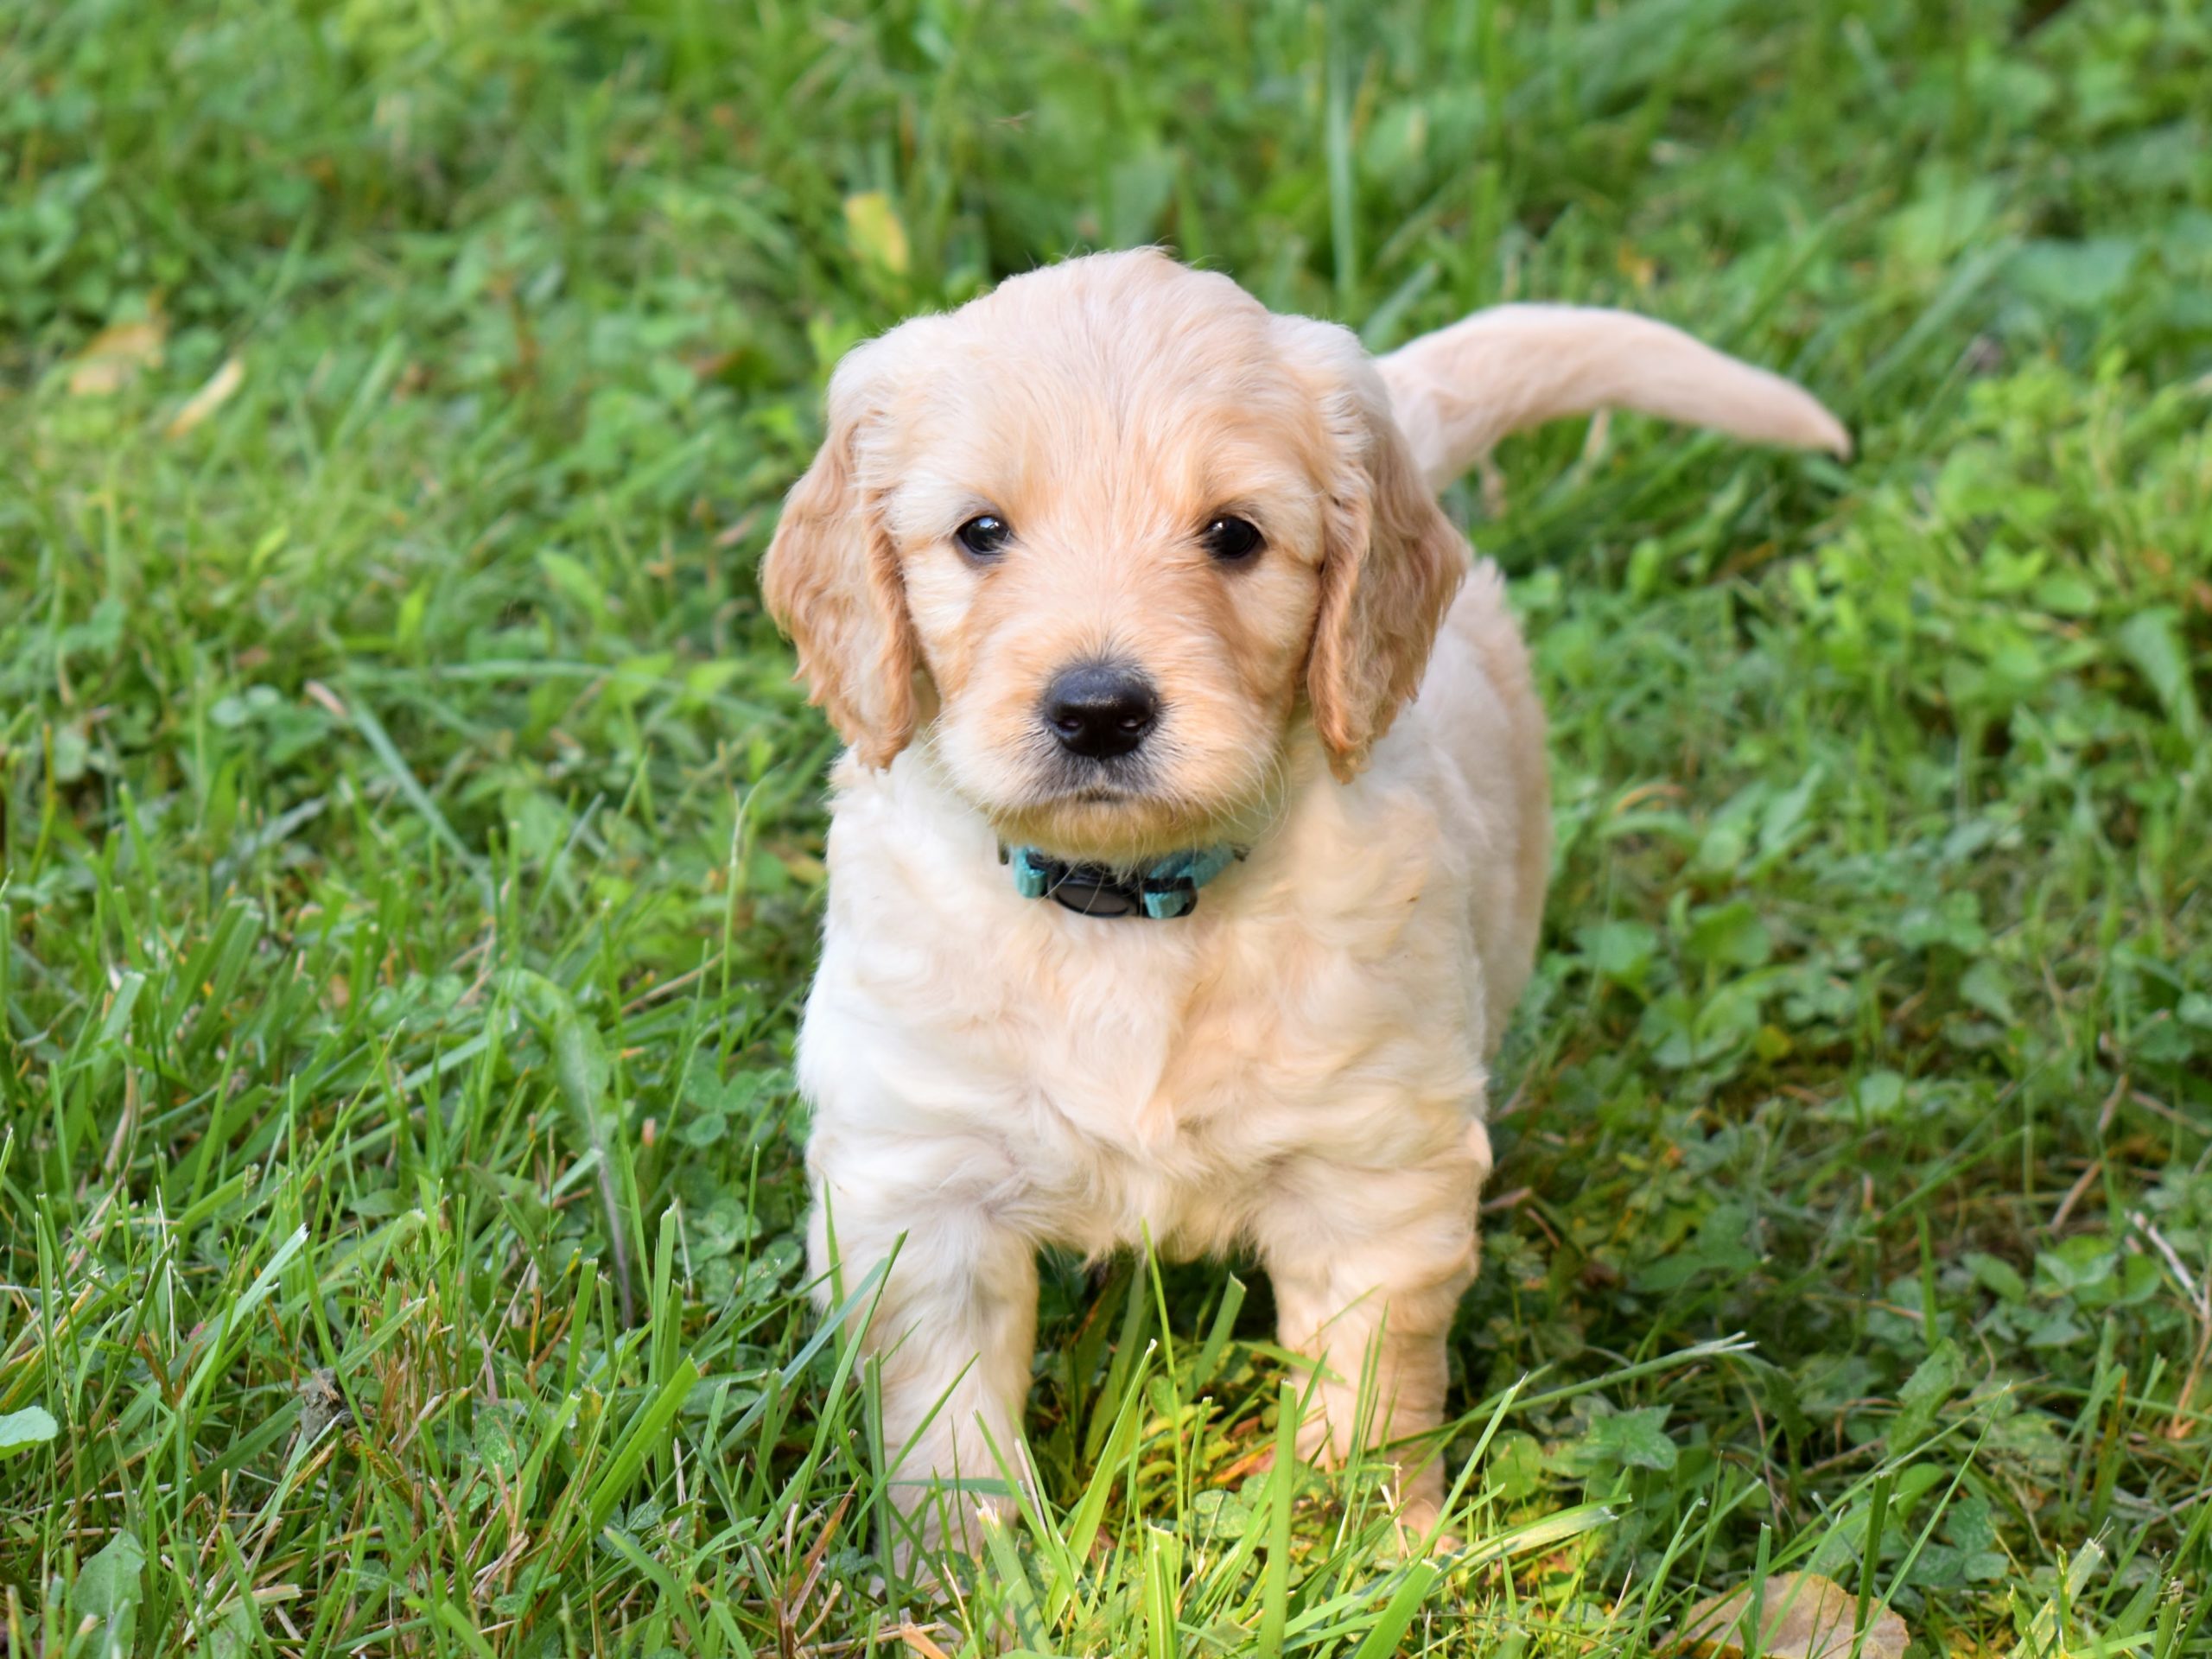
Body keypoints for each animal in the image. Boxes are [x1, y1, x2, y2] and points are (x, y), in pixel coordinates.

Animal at [765, 250, 1849, 1557]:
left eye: (1233, 536)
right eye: (980, 533)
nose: (1098, 710)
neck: (1128, 906)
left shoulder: (1374, 1170)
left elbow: (1370, 1389)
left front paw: (1367, 1550)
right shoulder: (921, 1181)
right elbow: (947, 1421)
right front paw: (973, 1572)